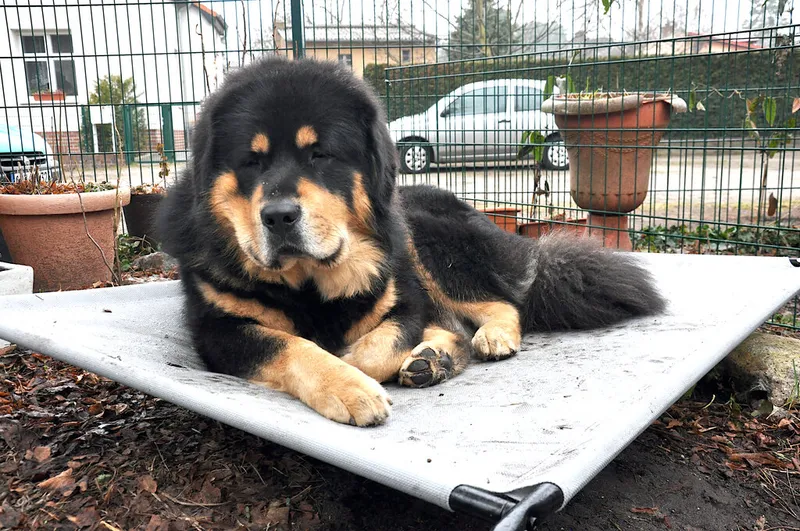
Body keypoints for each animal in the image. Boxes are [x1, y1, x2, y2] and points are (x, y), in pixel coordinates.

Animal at [158, 57, 666, 427]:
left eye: (320, 155)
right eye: (251, 161)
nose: (279, 216)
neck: (309, 282)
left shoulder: (404, 301)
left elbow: (375, 347)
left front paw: (355, 371)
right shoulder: (219, 329)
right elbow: (292, 345)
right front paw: (346, 382)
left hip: (428, 242)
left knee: (499, 305)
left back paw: (485, 339)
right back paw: (433, 358)